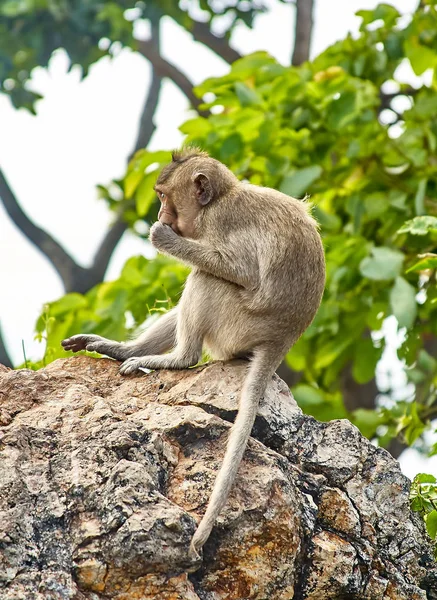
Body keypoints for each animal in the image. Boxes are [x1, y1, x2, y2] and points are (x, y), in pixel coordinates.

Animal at [63, 146, 326, 556]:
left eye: (162, 197)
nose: (160, 216)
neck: (218, 200)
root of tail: (281, 340)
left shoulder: (221, 222)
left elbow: (241, 271)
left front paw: (163, 238)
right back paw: (125, 350)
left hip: (238, 327)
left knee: (206, 277)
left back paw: (178, 358)